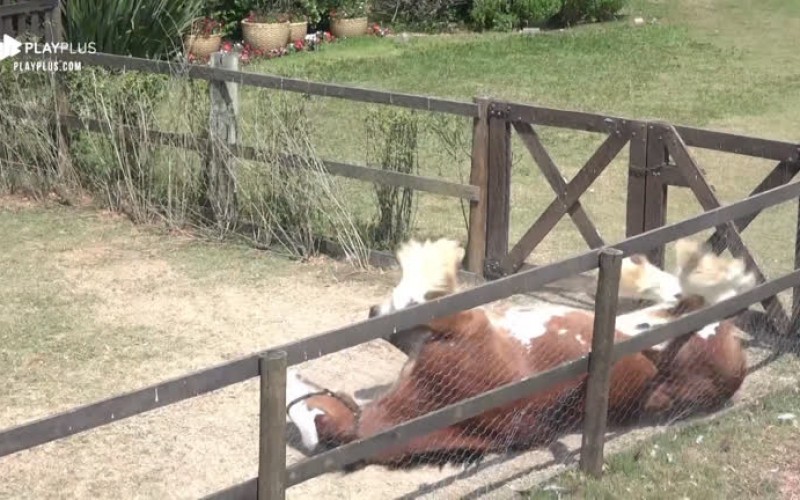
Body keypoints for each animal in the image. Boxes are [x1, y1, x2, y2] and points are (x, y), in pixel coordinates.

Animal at [284, 238, 754, 471]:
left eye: (310, 406)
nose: (292, 378)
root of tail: (735, 369)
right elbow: (393, 315)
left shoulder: (462, 323)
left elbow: (400, 307)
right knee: (685, 299)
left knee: (690, 297)